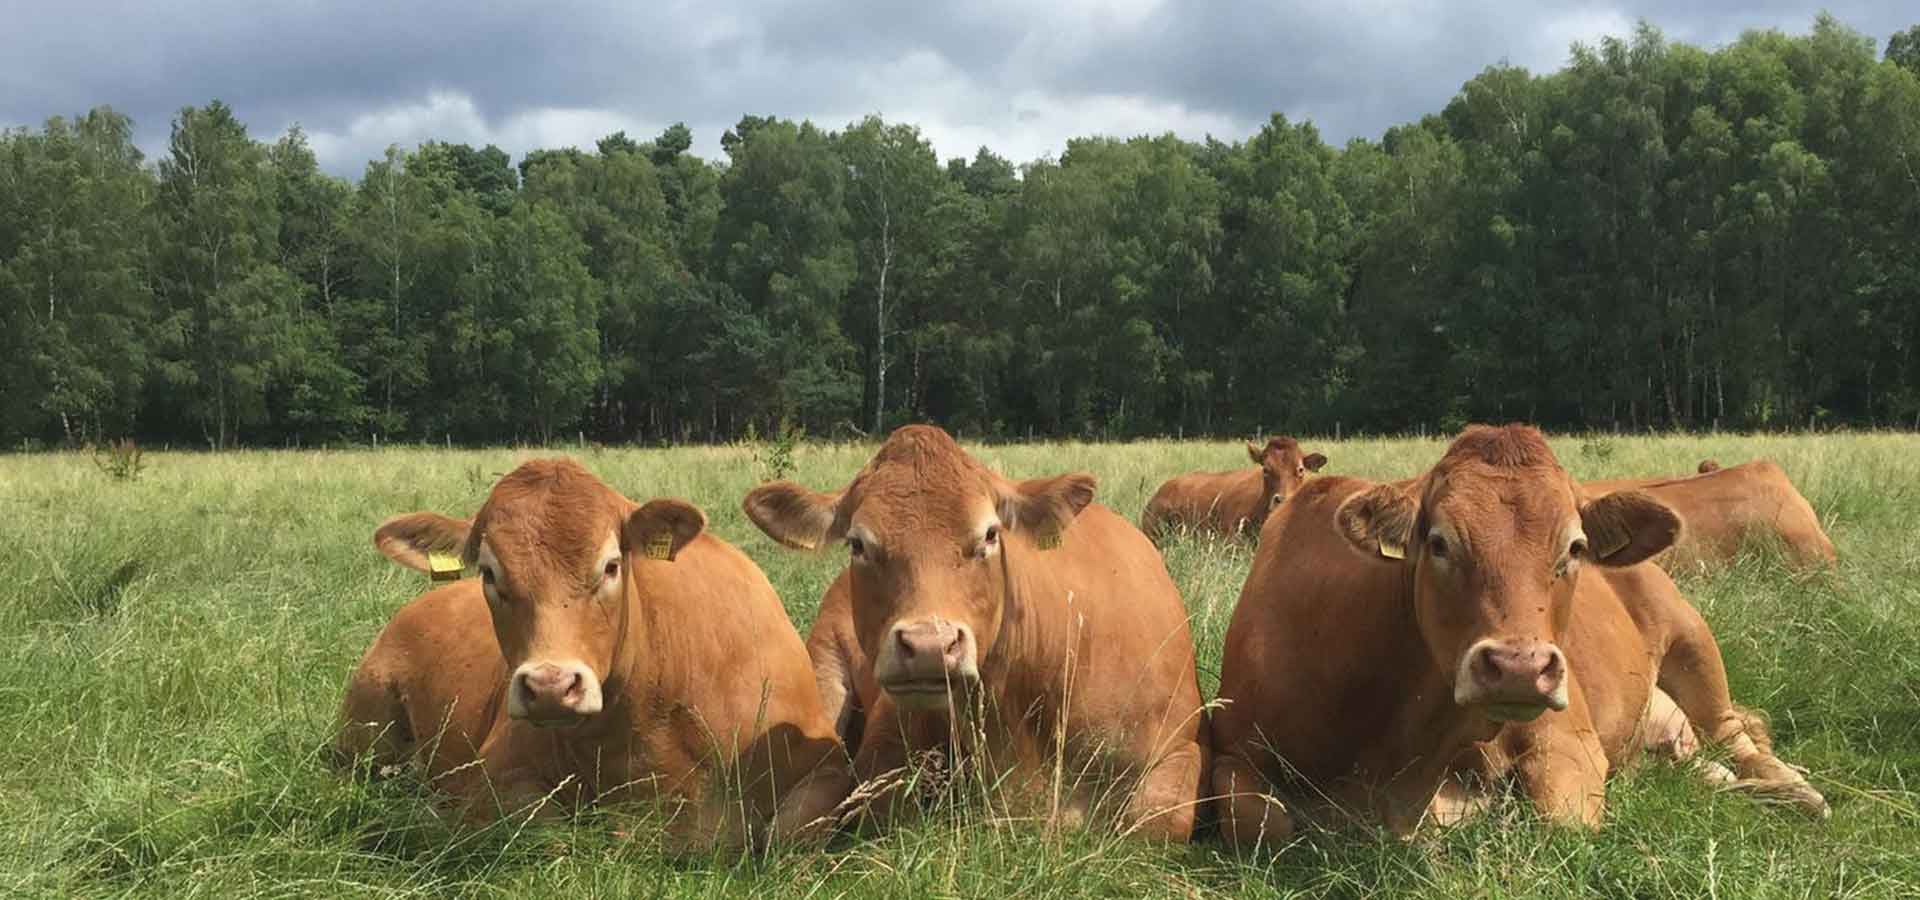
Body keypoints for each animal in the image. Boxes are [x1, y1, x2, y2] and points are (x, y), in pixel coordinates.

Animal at [334, 458, 852, 844]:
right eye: (488, 572)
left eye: (611, 565)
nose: (550, 687)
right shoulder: (491, 776)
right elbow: (548, 831)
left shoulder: (824, 768)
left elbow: (788, 832)